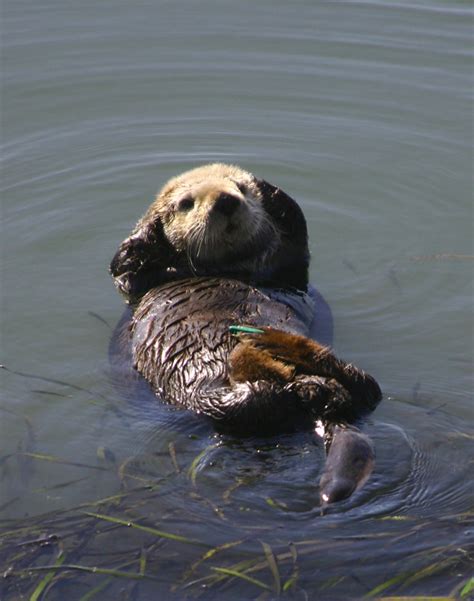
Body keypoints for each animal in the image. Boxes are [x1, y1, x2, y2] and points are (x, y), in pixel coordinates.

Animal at [110, 163, 382, 502]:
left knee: (366, 387)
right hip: (211, 400)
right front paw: (140, 237)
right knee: (259, 399)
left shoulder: (288, 268)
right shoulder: (134, 284)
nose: (226, 200)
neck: (225, 268)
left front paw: (265, 187)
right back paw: (280, 359)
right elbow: (123, 270)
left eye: (239, 189)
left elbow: (296, 230)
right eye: (185, 203)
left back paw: (278, 345)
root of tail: (317, 403)